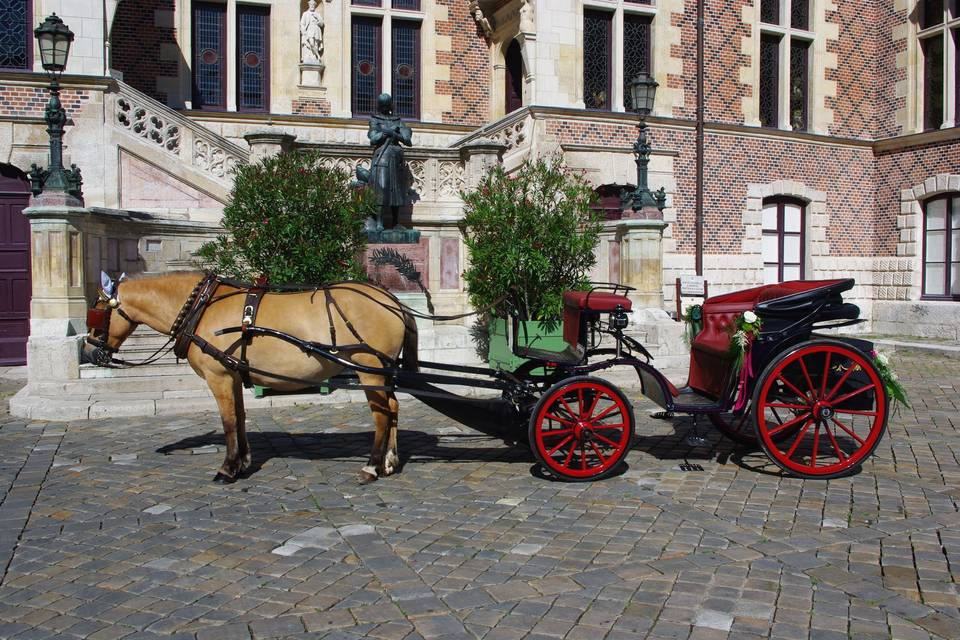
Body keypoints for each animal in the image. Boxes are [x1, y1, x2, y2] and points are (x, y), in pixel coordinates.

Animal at [85, 270, 420, 484]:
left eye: (97, 313)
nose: (89, 352)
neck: (201, 306)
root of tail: (393, 300)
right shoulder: (233, 375)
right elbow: (241, 417)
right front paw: (242, 462)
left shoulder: (218, 376)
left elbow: (228, 421)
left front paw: (227, 469)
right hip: (382, 371)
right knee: (393, 408)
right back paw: (389, 461)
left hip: (369, 370)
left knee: (381, 414)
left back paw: (371, 467)